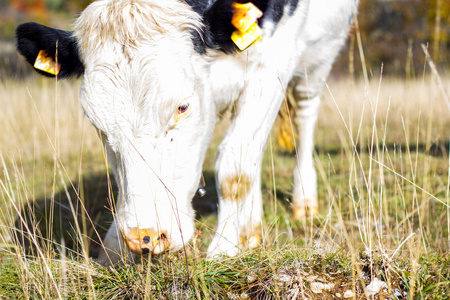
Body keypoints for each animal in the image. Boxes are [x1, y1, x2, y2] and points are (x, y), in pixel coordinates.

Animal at [14, 0, 358, 264]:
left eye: (182, 107)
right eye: (95, 120)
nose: (144, 236)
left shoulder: (272, 66)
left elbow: (234, 169)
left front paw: (224, 249)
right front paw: (113, 248)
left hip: (316, 64)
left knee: (302, 118)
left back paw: (304, 201)